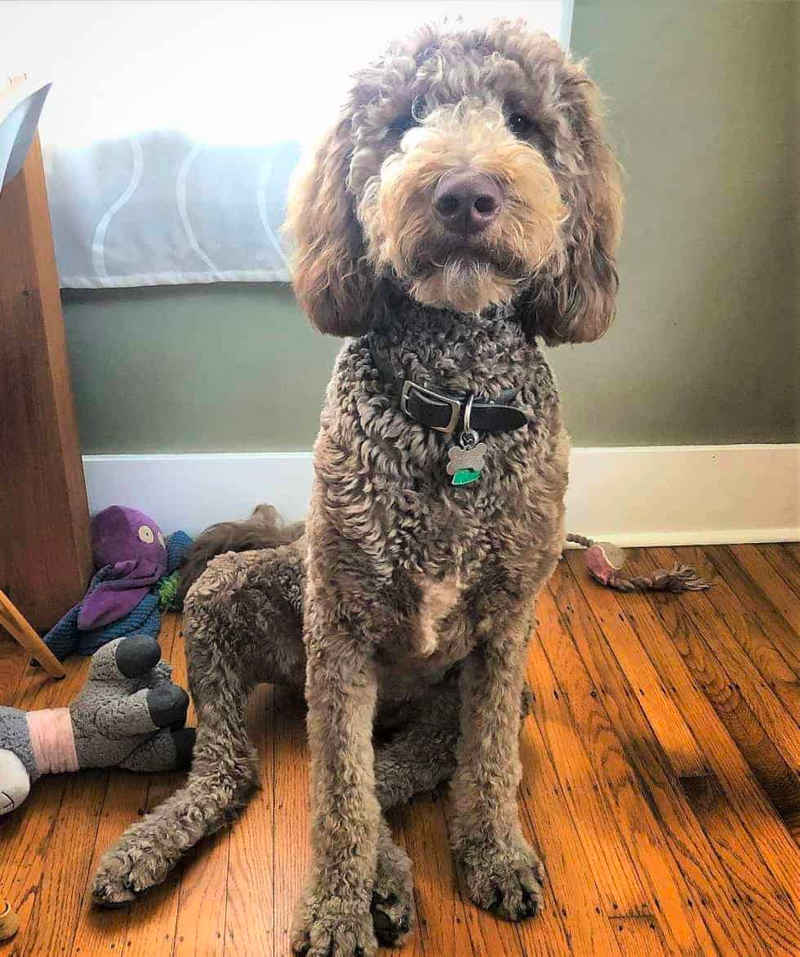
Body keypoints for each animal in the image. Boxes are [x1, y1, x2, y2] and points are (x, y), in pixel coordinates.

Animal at [90, 20, 620, 956]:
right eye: (407, 115)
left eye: (524, 123)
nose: (465, 194)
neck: (453, 406)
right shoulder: (338, 630)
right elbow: (338, 794)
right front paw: (337, 912)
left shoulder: (504, 633)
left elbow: (487, 767)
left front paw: (495, 853)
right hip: (237, 601)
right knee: (240, 768)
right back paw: (160, 844)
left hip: (467, 696)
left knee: (400, 769)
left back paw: (394, 871)